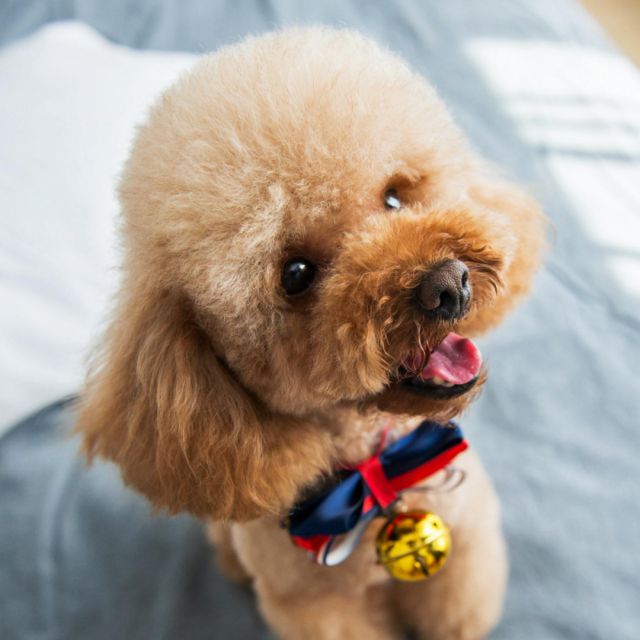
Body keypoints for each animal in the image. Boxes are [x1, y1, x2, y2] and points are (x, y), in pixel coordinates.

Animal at [76, 27, 545, 639]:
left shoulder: (467, 544)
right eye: (296, 275)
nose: (449, 285)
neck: (376, 477)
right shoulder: (316, 609)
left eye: (394, 197)